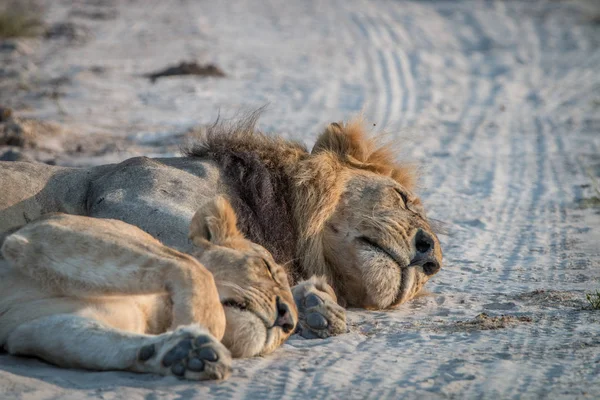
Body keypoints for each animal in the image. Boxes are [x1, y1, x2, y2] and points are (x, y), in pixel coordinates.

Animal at [0, 198, 298, 380]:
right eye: (266, 267)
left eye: (288, 335)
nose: (288, 320)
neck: (161, 309)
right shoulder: (50, 230)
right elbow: (192, 267)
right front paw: (197, 326)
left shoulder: (31, 328)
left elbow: (105, 344)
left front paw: (185, 352)